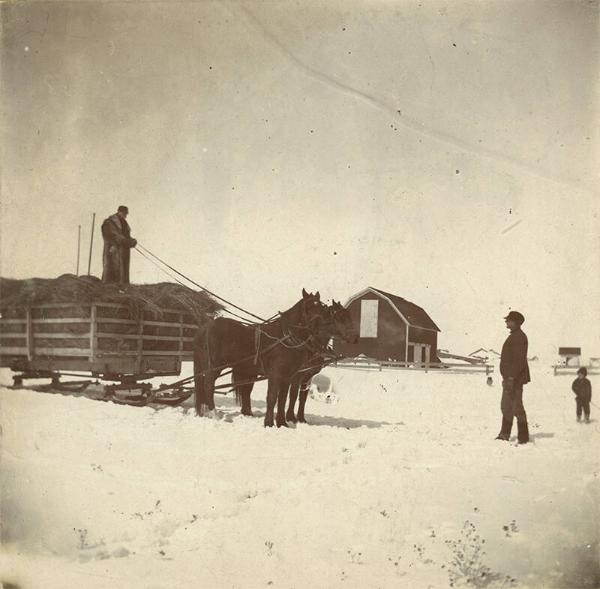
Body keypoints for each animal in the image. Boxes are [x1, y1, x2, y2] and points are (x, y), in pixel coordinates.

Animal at [195, 290, 328, 428]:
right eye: (308, 307)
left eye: (321, 307)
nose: (320, 329)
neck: (285, 338)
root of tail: (206, 327)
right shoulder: (276, 375)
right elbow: (272, 397)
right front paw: (269, 423)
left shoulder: (287, 377)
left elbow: (282, 399)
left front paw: (282, 423)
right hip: (214, 366)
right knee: (208, 386)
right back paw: (214, 414)